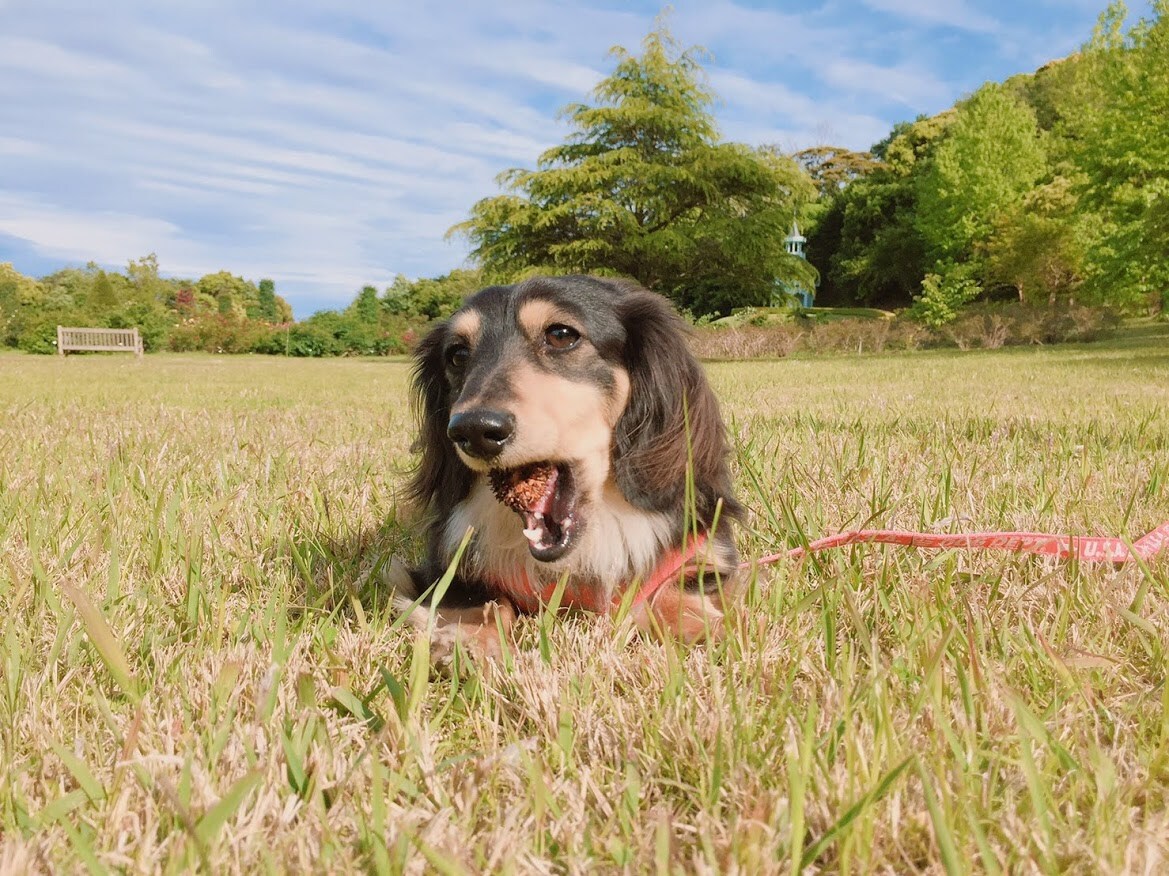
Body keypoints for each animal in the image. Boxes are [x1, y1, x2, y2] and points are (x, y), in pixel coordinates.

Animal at [388, 273, 743, 654]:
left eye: (561, 335)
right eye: (457, 355)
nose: (473, 430)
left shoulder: (706, 550)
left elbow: (674, 586)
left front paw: (699, 625)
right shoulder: (444, 563)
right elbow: (479, 600)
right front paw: (467, 638)